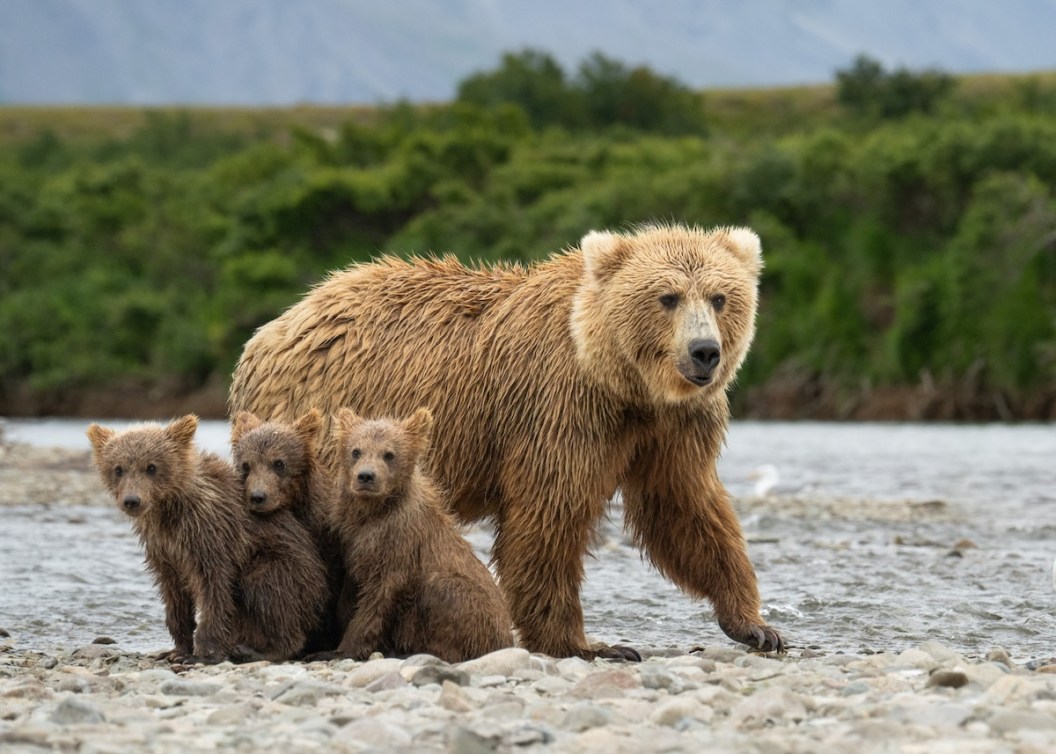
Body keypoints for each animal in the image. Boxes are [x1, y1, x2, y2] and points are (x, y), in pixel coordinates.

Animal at [86, 415, 247, 663]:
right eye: (118, 469)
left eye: (151, 467)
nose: (132, 500)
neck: (168, 512)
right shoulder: (163, 549)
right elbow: (174, 593)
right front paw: (177, 649)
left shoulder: (209, 536)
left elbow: (214, 588)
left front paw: (203, 652)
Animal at [327, 407, 514, 662]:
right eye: (356, 451)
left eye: (389, 454)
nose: (365, 476)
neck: (374, 512)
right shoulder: (353, 542)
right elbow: (350, 592)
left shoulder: (399, 544)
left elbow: (378, 597)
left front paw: (344, 648)